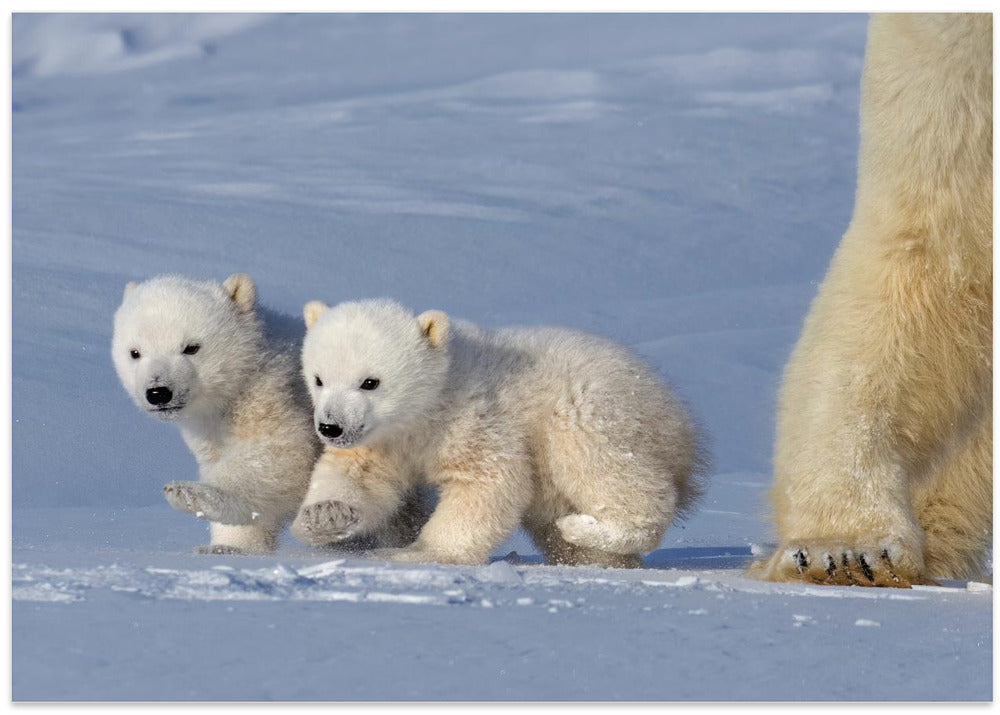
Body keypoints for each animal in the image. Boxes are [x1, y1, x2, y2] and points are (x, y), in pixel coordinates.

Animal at [111, 274, 427, 553]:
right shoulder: (211, 437)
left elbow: (280, 461)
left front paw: (194, 494)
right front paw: (226, 547)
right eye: (135, 352)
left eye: (191, 347)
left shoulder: (279, 398)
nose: (158, 392)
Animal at [290, 298, 707, 568]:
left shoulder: (474, 416)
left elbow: (488, 482)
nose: (330, 427)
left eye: (370, 382)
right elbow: (357, 475)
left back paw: (588, 529)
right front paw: (325, 516)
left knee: (607, 470)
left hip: (591, 413)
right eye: (319, 378)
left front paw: (418, 552)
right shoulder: (382, 441)